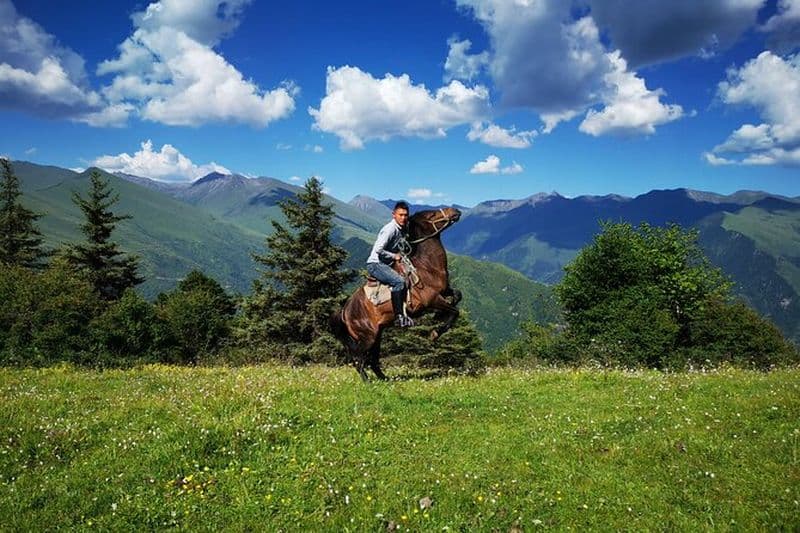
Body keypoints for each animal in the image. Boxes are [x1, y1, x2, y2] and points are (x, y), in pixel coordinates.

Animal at [330, 207, 463, 381]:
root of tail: (344, 311)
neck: (427, 266)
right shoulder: (433, 300)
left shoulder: (444, 291)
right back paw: (368, 382)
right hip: (368, 337)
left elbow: (458, 295)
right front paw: (435, 333)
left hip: (377, 335)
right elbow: (454, 312)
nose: (455, 210)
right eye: (432, 214)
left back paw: (385, 379)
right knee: (359, 359)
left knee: (372, 360)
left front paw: (438, 316)